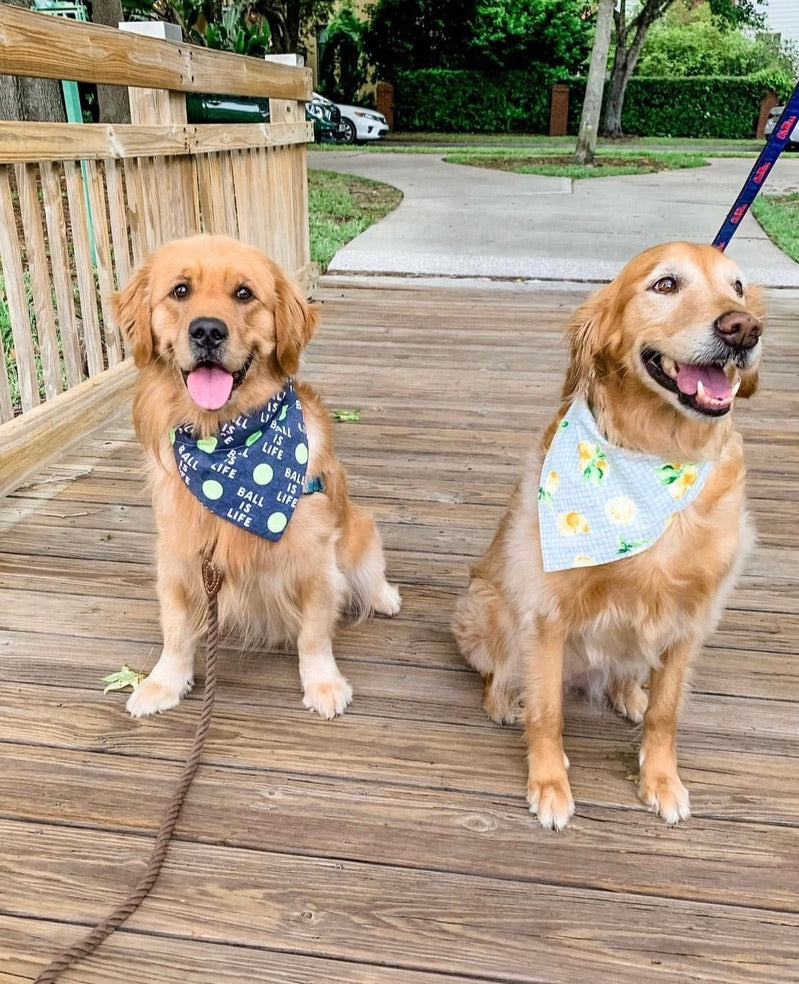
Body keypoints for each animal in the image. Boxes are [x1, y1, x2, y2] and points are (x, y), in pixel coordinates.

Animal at [112, 234, 400, 720]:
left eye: (244, 294)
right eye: (180, 291)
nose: (208, 331)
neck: (227, 446)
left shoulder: (314, 559)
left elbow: (314, 633)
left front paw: (323, 684)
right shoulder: (179, 554)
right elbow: (175, 628)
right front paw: (163, 683)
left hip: (360, 527)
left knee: (371, 572)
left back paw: (384, 598)